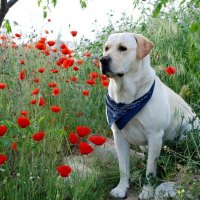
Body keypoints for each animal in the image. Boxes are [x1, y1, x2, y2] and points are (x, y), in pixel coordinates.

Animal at [99, 32, 198, 198]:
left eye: (123, 48)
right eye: (106, 48)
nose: (103, 60)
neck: (126, 98)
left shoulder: (155, 135)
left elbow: (150, 170)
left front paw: (147, 191)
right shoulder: (118, 136)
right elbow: (123, 167)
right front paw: (121, 188)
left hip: (186, 133)